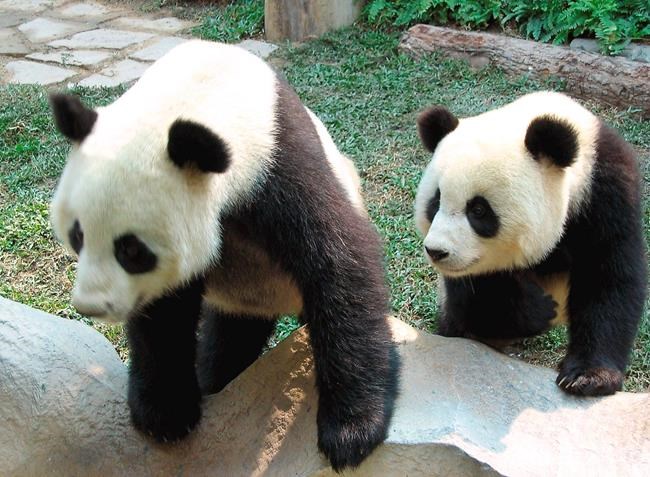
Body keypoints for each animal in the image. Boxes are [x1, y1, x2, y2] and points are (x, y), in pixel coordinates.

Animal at [49, 40, 399, 471]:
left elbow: (340, 262)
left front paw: (351, 433)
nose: (91, 306)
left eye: (131, 250)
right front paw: (165, 414)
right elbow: (163, 313)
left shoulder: (279, 163)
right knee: (229, 345)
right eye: (78, 235)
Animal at [414, 91, 646, 396]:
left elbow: (608, 277)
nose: (437, 251)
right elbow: (480, 295)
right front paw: (542, 309)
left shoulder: (607, 192)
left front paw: (588, 376)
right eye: (436, 201)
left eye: (479, 210)